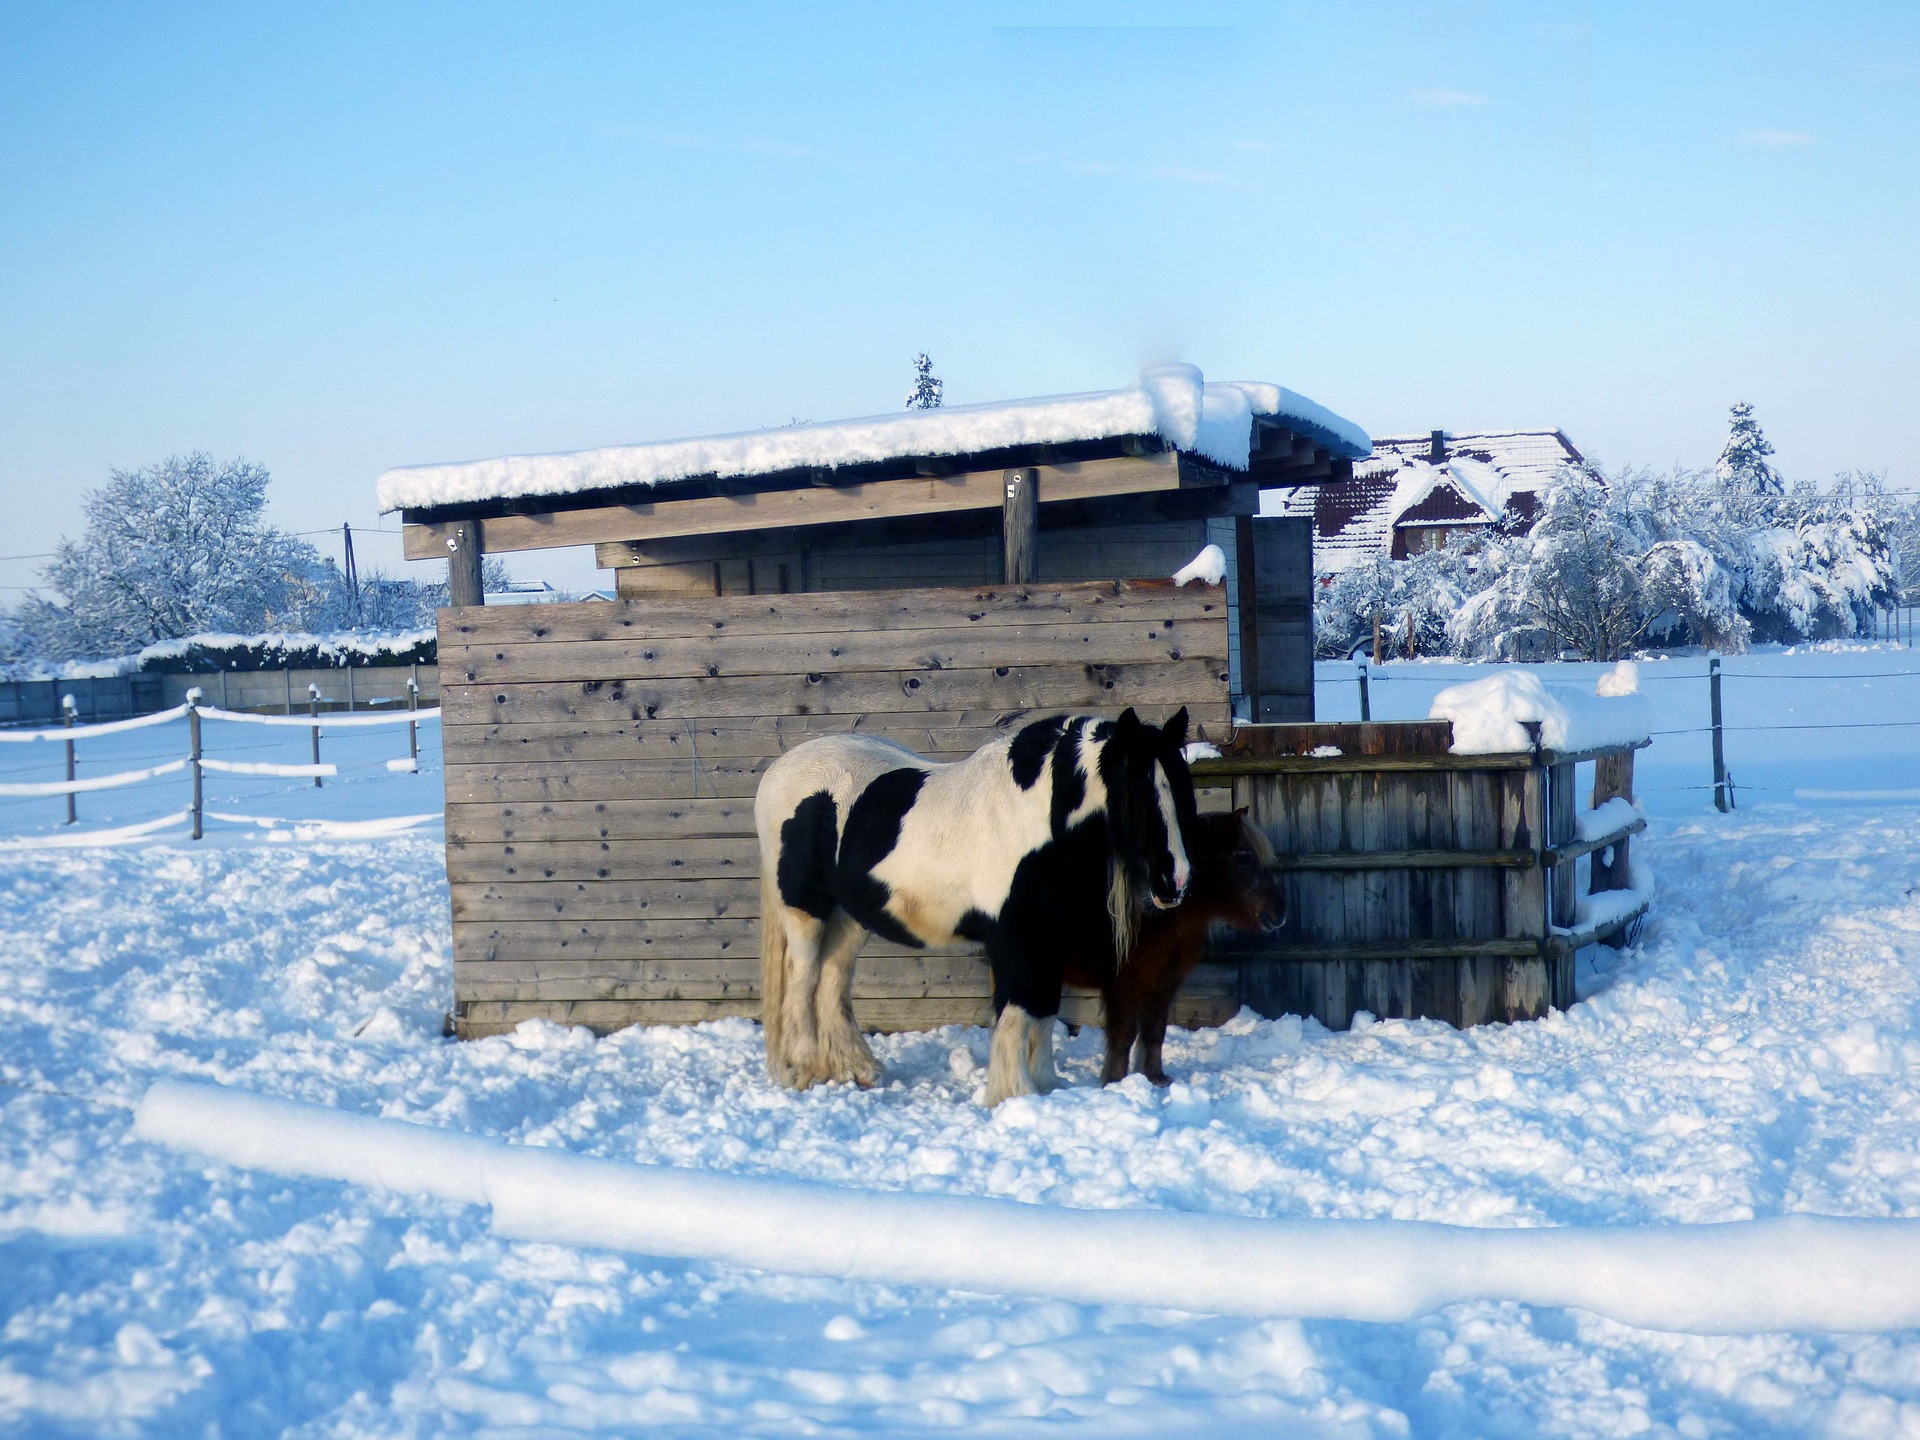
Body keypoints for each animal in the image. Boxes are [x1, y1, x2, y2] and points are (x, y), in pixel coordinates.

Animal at [756, 706, 1190, 1105]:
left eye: (1182, 782)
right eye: (1133, 790)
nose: (1176, 881)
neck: (1032, 822)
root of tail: (776, 771)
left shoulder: (1048, 941)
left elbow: (1044, 1011)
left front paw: (1046, 1086)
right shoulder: (1016, 943)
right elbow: (1017, 1013)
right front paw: (1012, 1094)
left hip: (849, 916)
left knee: (832, 979)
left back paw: (854, 1070)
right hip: (805, 912)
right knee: (802, 978)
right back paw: (801, 1072)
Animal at [1067, 817, 1290, 1090]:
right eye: (1243, 855)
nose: (1280, 911)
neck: (1151, 913)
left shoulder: (1164, 982)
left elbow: (1154, 1031)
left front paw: (1155, 1078)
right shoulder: (1125, 985)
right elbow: (1123, 1035)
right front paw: (1115, 1082)